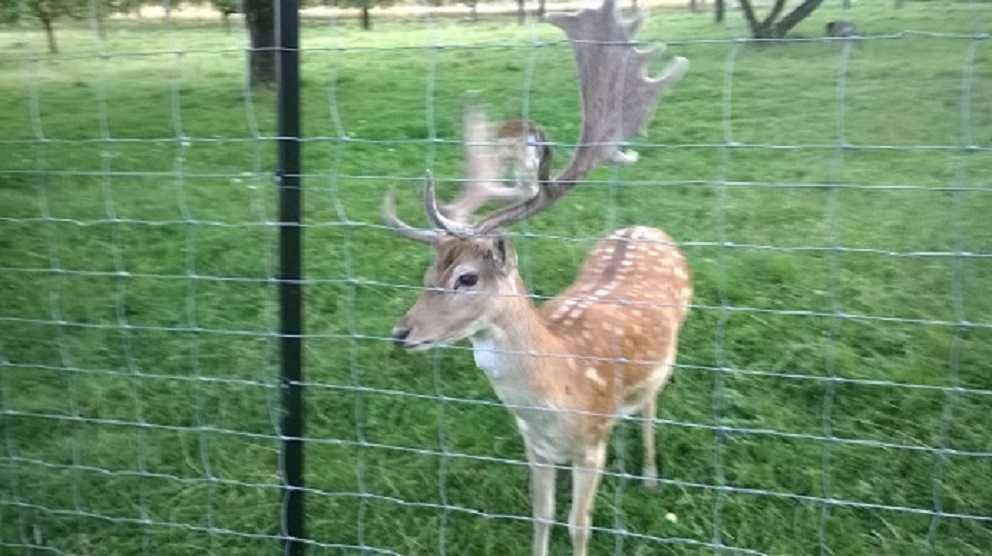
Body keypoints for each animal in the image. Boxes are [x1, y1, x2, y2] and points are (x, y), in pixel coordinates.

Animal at [382, 2, 688, 552]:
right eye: (429, 270)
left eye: (466, 278)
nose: (402, 332)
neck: (559, 396)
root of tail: (643, 226)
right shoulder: (534, 446)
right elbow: (541, 517)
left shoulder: (589, 446)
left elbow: (578, 524)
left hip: (669, 354)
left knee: (652, 402)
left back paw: (651, 477)